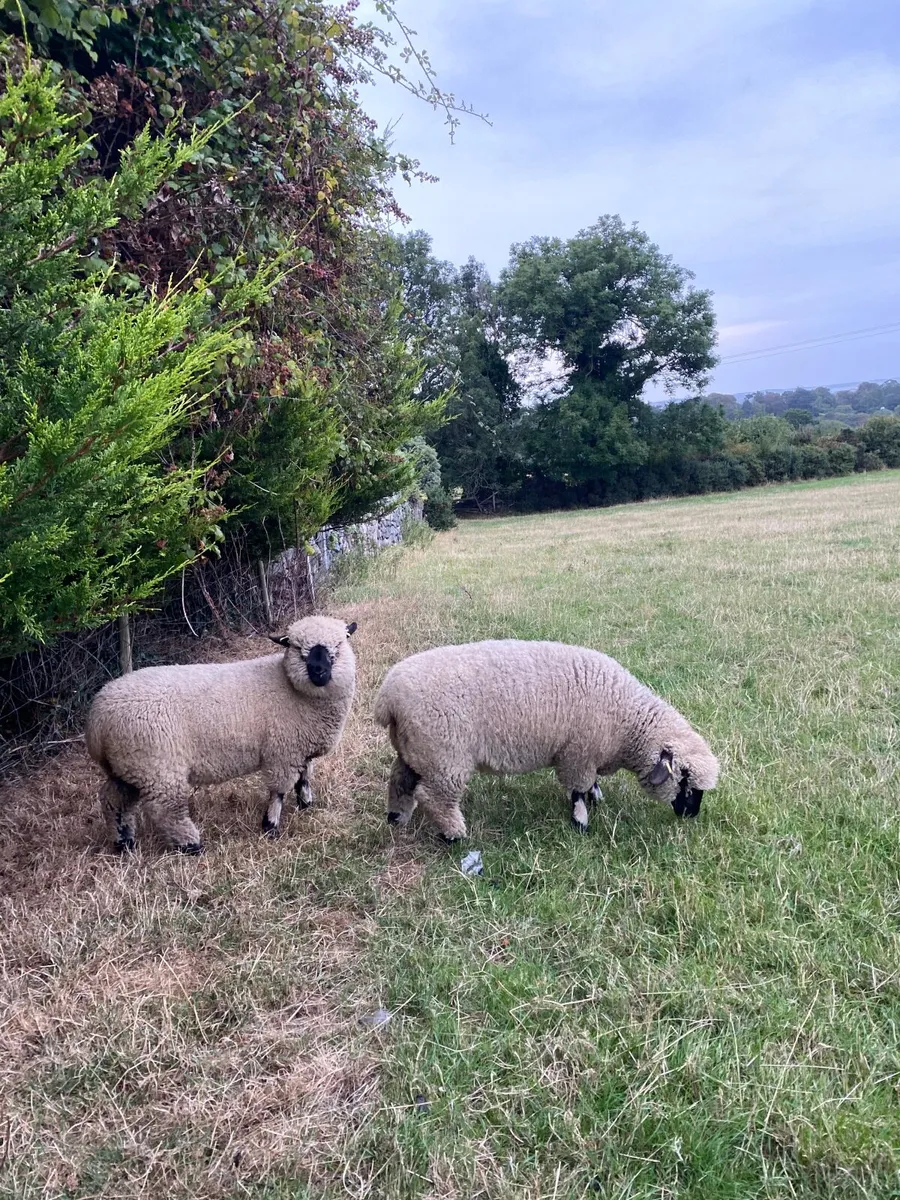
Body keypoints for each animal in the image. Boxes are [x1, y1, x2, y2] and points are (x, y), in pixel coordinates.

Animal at [85, 615, 357, 854]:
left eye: (339, 644)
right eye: (298, 648)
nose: (318, 671)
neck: (292, 689)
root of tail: (97, 720)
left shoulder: (300, 748)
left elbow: (304, 777)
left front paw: (305, 804)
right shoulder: (282, 752)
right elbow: (278, 792)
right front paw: (270, 826)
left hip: (129, 767)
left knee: (113, 801)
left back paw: (124, 844)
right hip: (158, 768)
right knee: (166, 810)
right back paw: (192, 846)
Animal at [373, 639, 718, 841]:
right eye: (685, 781)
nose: (691, 815)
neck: (628, 721)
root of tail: (388, 699)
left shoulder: (586, 753)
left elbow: (589, 783)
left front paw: (596, 795)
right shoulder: (578, 752)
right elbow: (577, 790)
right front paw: (581, 821)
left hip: (416, 751)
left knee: (400, 781)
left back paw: (397, 819)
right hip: (445, 756)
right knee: (435, 797)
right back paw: (455, 834)